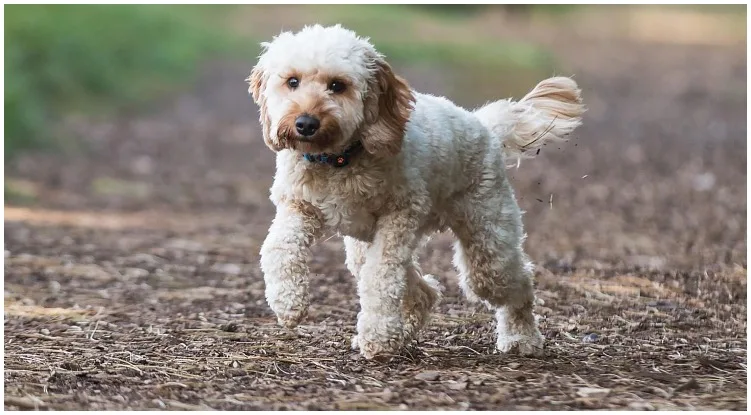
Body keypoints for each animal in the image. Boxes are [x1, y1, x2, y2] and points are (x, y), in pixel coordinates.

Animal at [248, 24, 588, 360]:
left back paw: (521, 337)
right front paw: (287, 302)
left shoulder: (399, 215)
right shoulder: (297, 206)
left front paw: (377, 336)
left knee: (514, 283)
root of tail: (485, 127)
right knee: (423, 291)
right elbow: (277, 248)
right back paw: (404, 332)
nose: (305, 123)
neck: (337, 161)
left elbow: (381, 277)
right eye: (292, 81)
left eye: (337, 85)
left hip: (487, 242)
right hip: (365, 245)